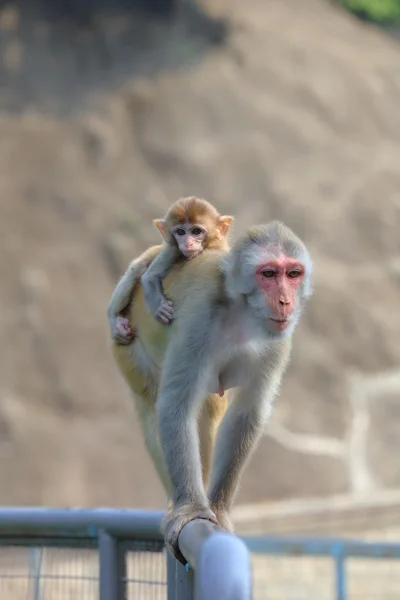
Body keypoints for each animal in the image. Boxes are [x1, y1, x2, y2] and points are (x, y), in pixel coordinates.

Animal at [109, 197, 234, 342]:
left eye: (196, 231)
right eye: (180, 232)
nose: (188, 243)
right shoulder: (171, 250)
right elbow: (149, 276)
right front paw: (160, 308)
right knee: (137, 269)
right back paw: (113, 319)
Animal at [109, 219, 312, 564]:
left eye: (293, 273)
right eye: (269, 273)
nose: (286, 301)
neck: (242, 311)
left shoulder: (278, 338)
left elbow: (247, 412)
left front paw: (218, 508)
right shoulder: (199, 321)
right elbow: (175, 406)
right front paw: (192, 508)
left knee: (206, 414)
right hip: (127, 344)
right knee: (155, 406)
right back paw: (175, 503)